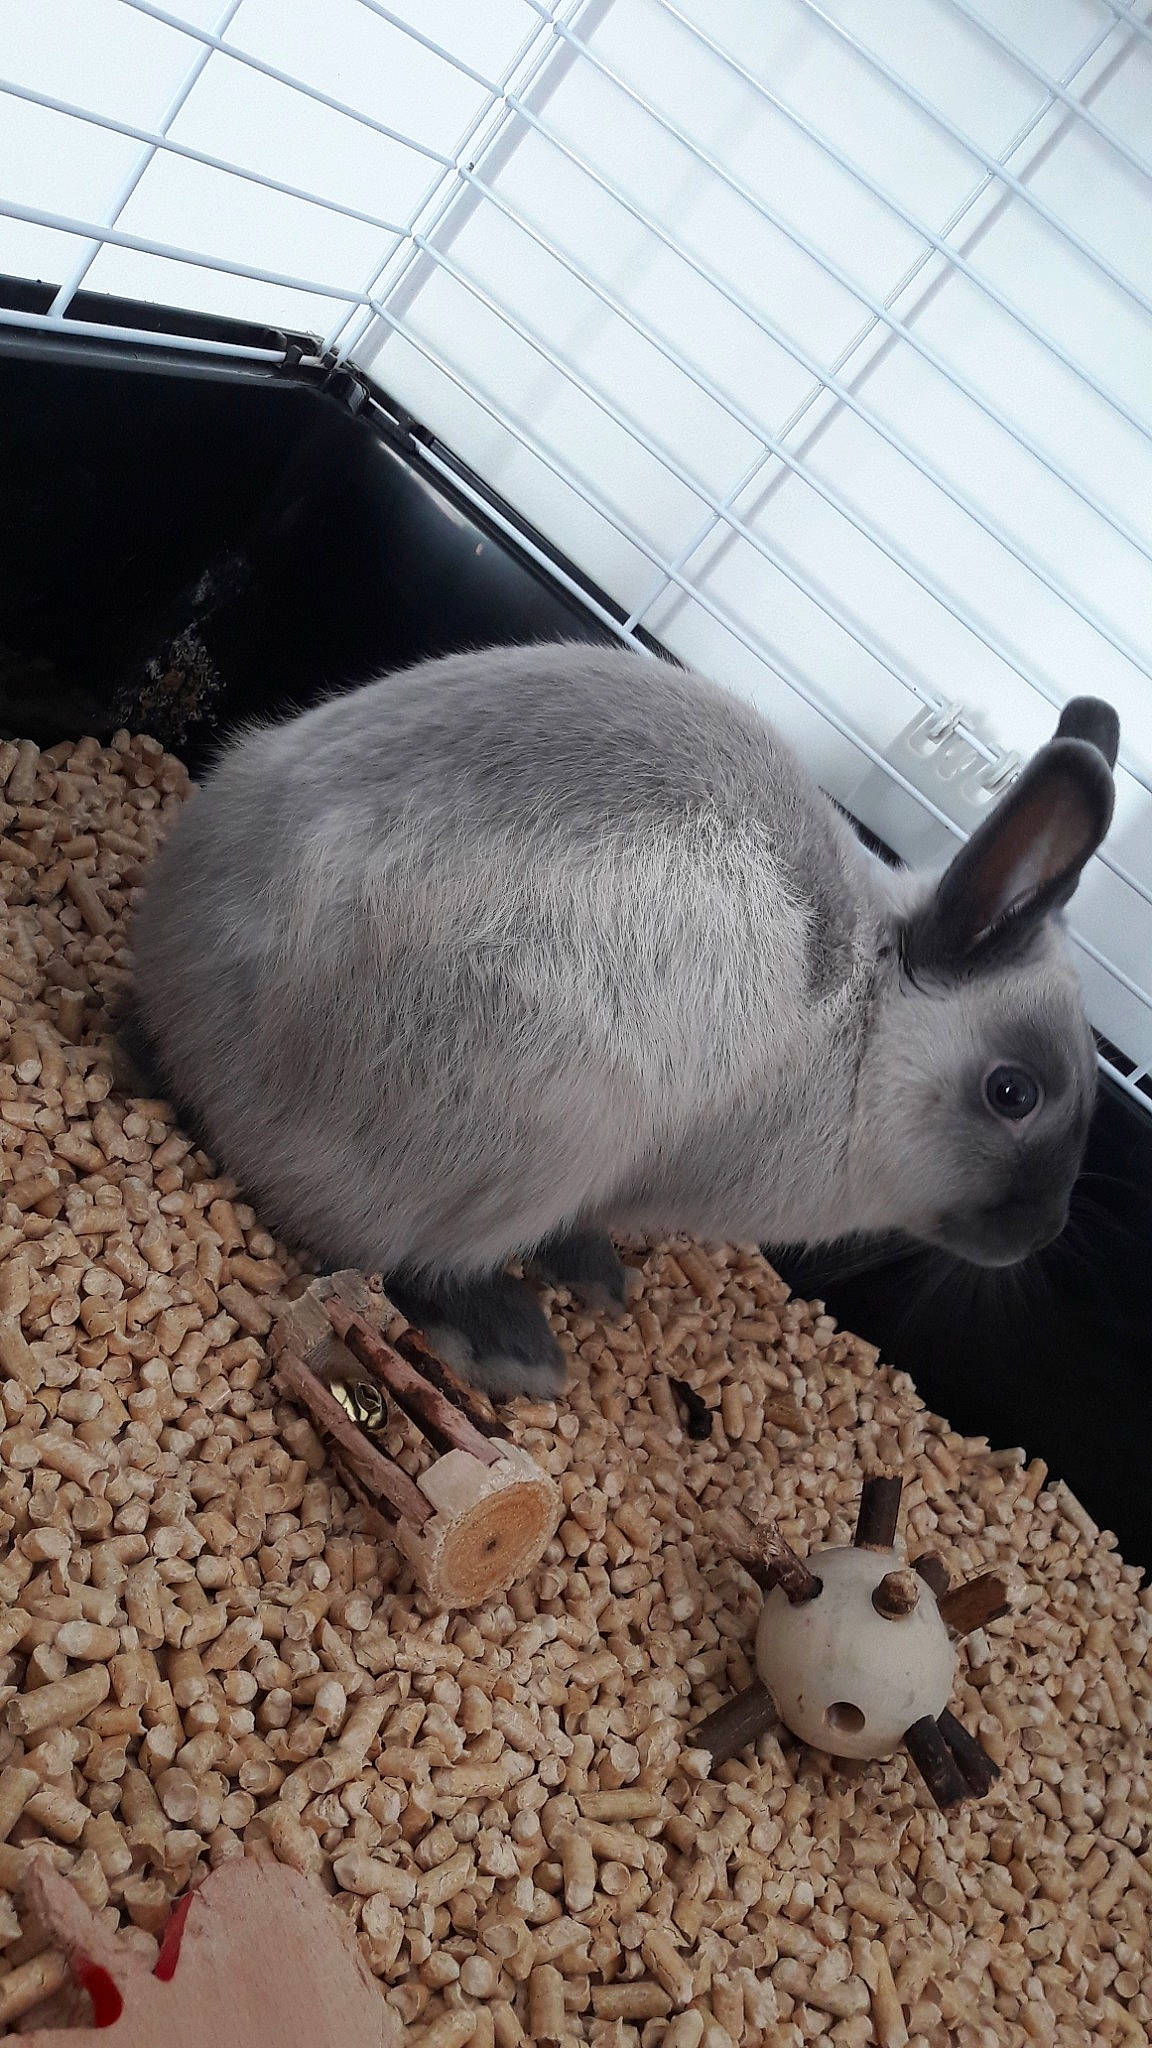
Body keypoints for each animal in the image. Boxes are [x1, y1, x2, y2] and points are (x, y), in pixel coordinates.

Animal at [118, 642, 1119, 1399]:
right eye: (1012, 1092)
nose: (1039, 1233)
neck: (863, 1033)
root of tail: (184, 1009)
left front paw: (604, 1278)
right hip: (549, 1120)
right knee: (394, 1248)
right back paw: (519, 1352)